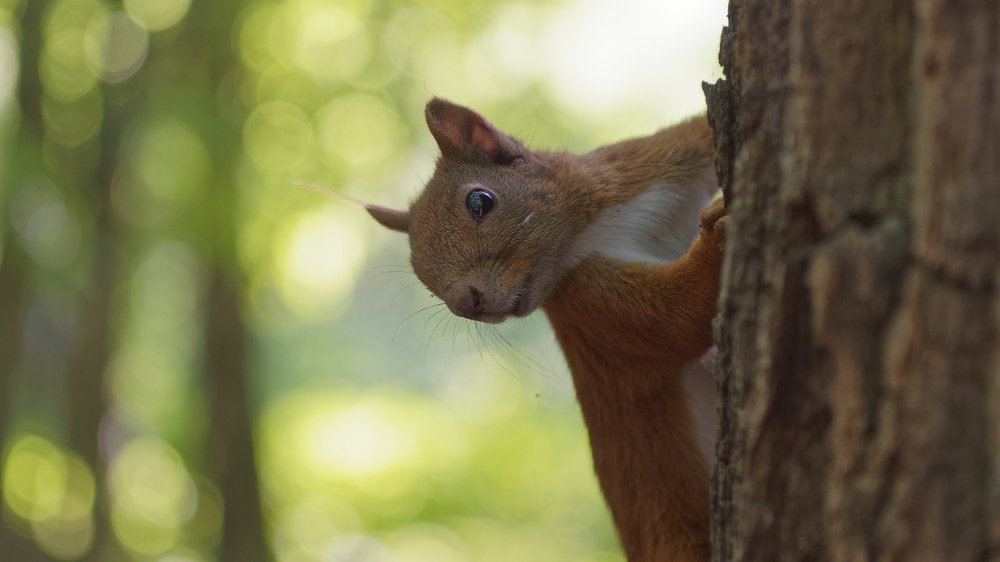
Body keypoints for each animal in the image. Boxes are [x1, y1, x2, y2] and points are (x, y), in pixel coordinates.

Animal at [362, 98, 726, 562]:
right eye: (417, 268)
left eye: (480, 201)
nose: (467, 305)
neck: (592, 230)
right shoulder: (591, 309)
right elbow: (675, 318)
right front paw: (717, 236)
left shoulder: (644, 165)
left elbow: (697, 135)